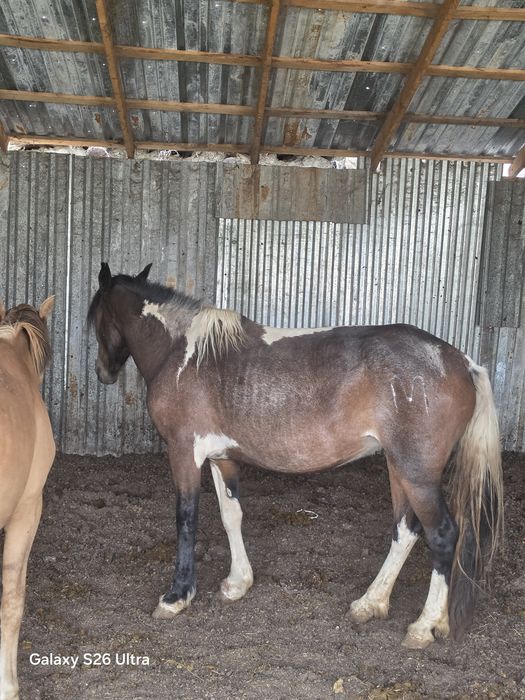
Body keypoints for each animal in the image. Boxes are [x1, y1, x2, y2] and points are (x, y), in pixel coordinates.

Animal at [88, 262, 503, 649]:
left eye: (95, 319)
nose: (102, 373)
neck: (184, 354)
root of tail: (463, 363)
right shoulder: (222, 457)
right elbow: (231, 516)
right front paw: (237, 582)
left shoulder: (184, 453)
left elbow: (186, 520)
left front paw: (176, 596)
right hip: (398, 467)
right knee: (406, 530)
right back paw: (371, 603)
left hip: (416, 474)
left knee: (442, 534)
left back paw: (422, 625)